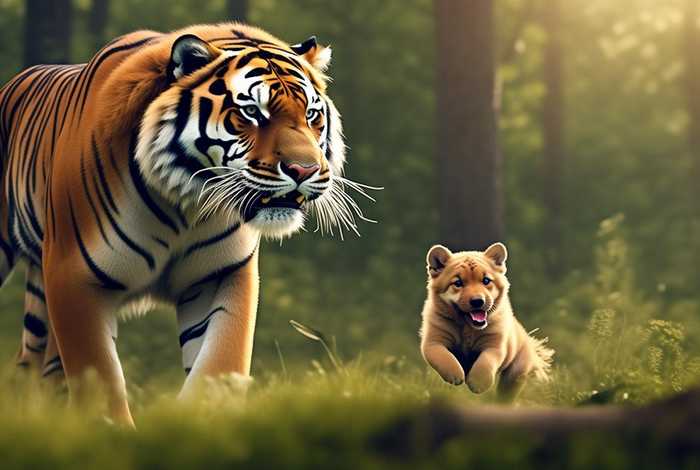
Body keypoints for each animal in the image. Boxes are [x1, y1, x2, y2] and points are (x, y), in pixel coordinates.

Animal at [0, 22, 369, 425]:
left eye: (312, 115)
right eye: (251, 112)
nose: (304, 170)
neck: (185, 206)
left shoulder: (222, 274)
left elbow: (220, 366)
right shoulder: (74, 277)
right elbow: (100, 382)